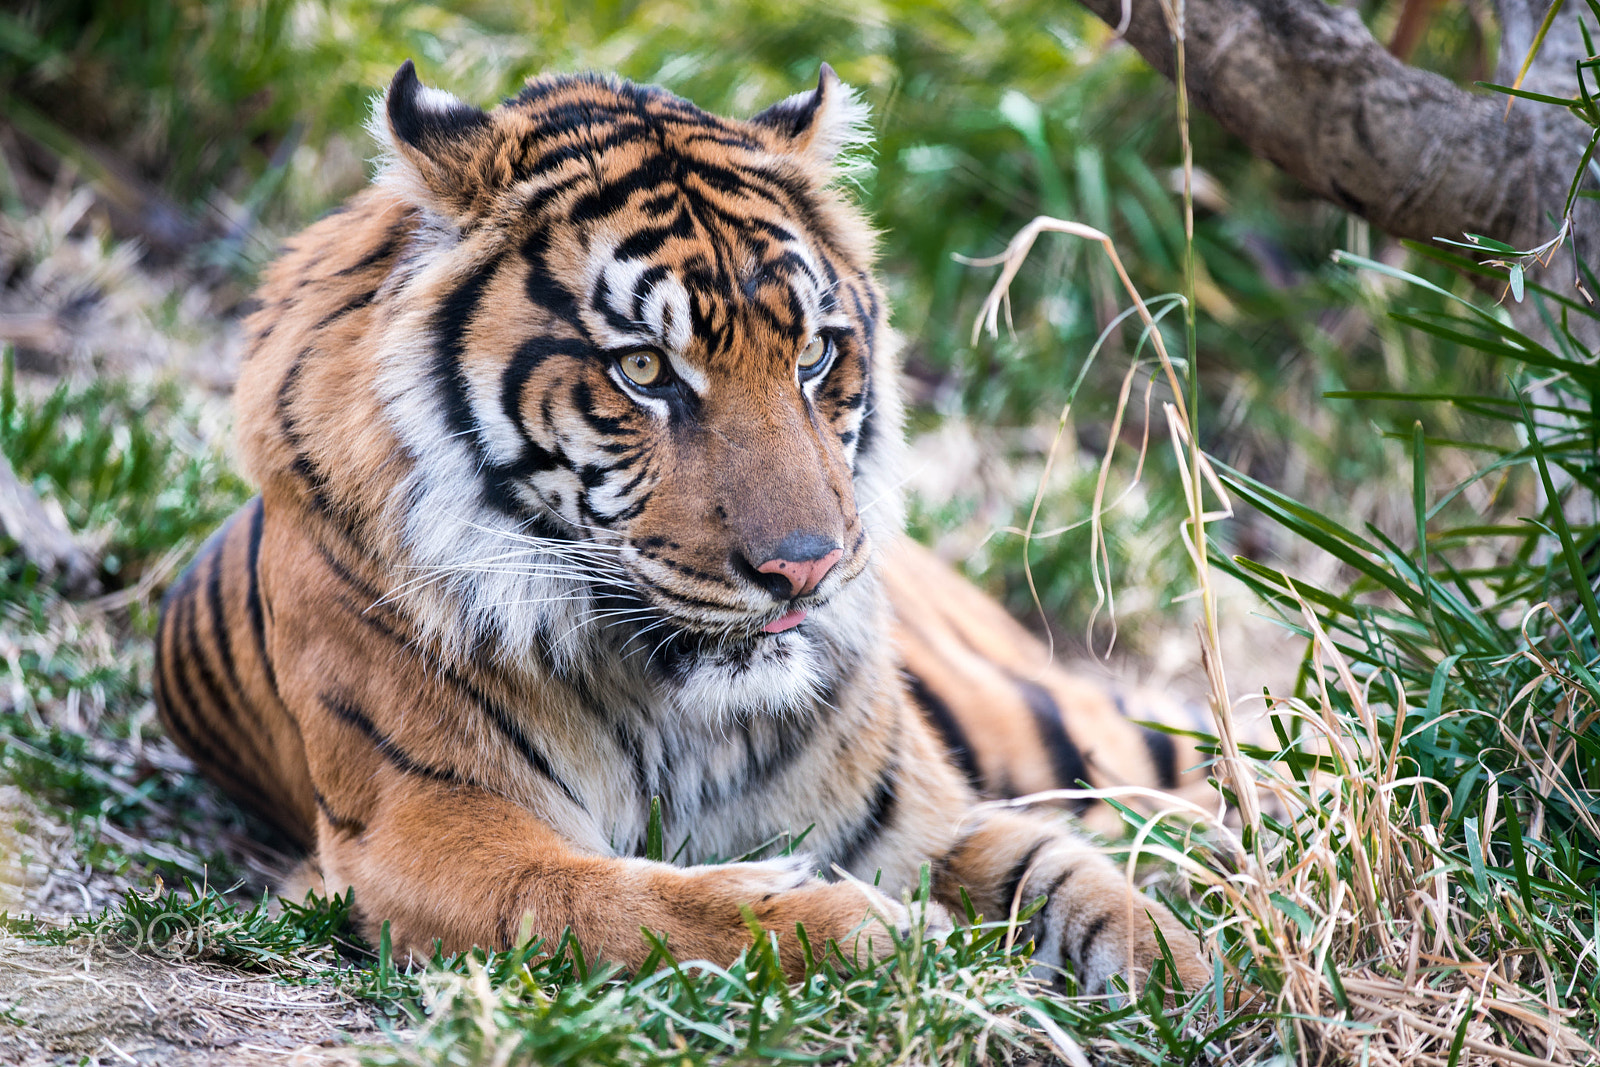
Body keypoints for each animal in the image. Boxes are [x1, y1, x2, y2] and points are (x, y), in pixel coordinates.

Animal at [153, 60, 1212, 994]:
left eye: (815, 354)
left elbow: (1079, 878)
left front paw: (1201, 976)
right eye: (645, 370)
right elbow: (621, 903)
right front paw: (890, 935)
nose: (807, 568)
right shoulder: (423, 826)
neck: (687, 708)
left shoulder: (928, 812)